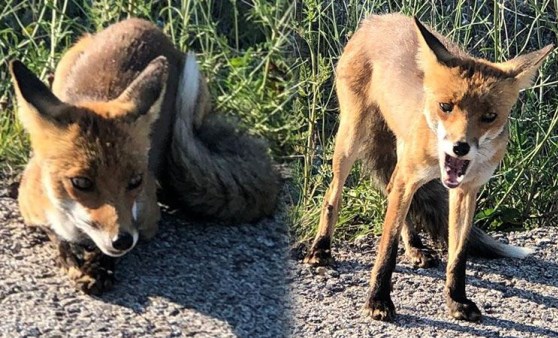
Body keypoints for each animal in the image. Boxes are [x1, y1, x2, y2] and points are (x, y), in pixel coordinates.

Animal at [12, 17, 284, 294]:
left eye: (135, 181)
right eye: (81, 183)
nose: (122, 240)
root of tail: (138, 22)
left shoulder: (148, 221)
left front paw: (100, 265)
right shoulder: (30, 208)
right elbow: (55, 235)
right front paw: (71, 255)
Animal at [306, 13, 556, 322]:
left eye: (489, 116)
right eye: (445, 106)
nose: (460, 147)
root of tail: (378, 18)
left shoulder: (466, 190)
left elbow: (458, 255)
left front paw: (457, 301)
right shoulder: (410, 176)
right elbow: (386, 249)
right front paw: (378, 300)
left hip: (399, 155)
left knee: (392, 193)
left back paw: (415, 247)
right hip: (351, 138)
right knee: (333, 193)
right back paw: (321, 248)